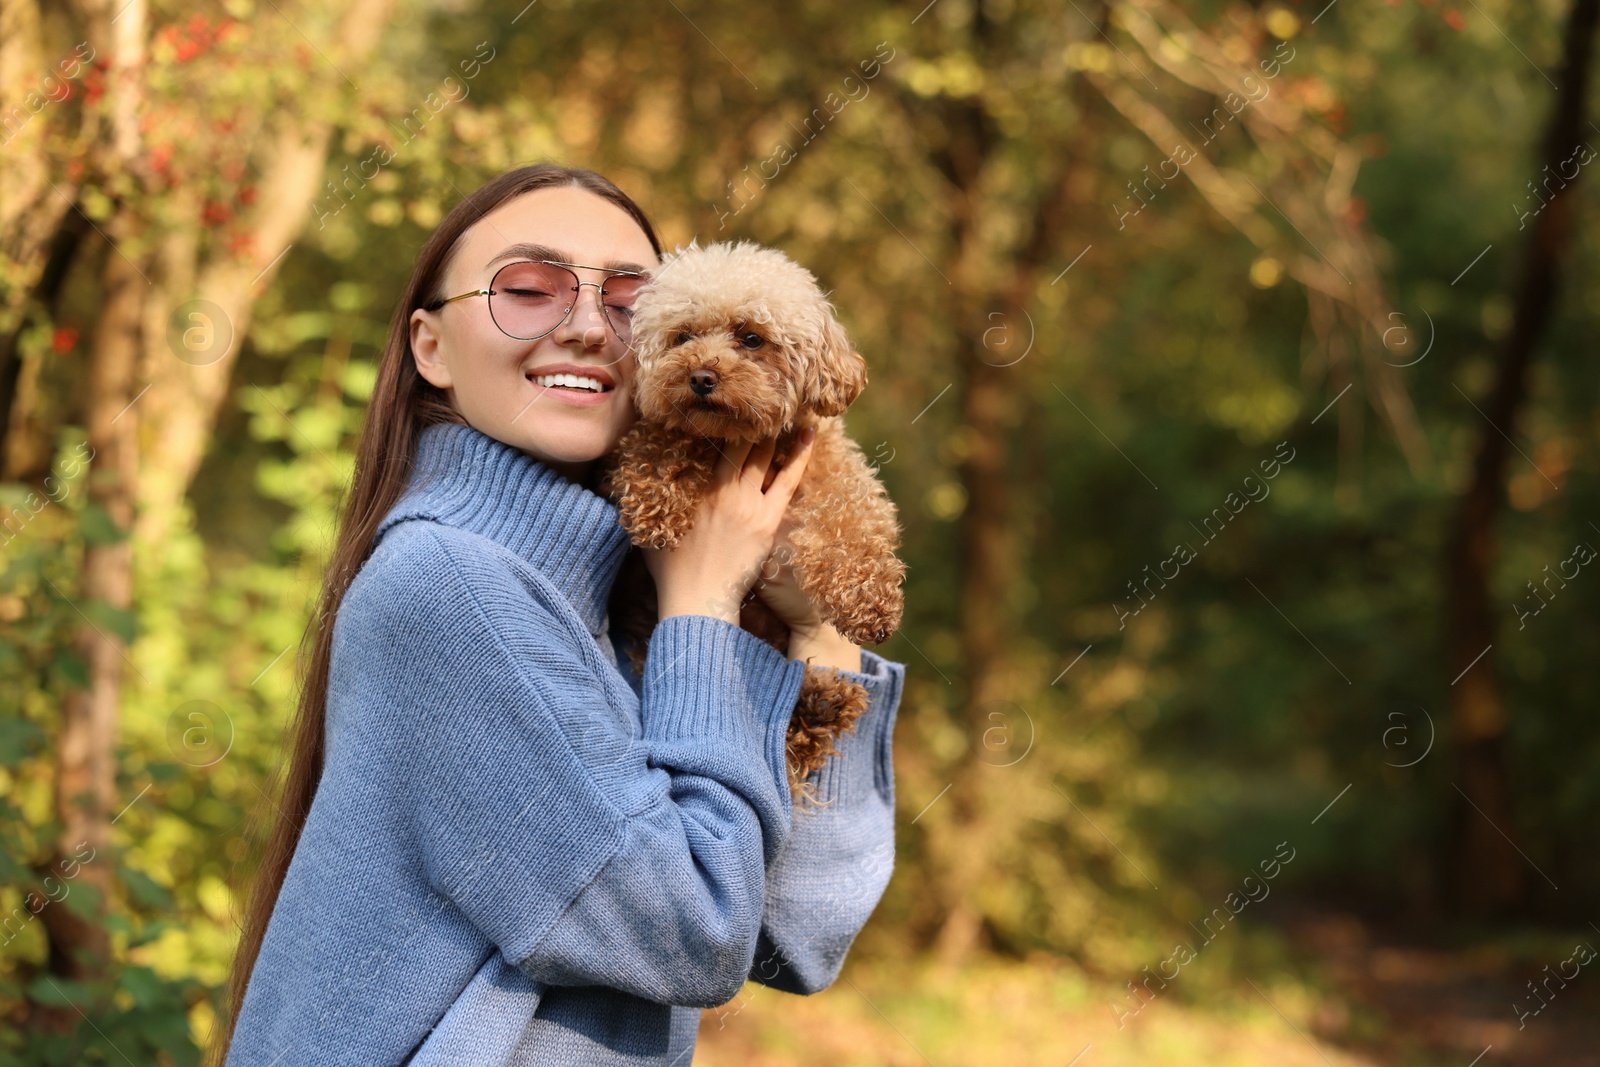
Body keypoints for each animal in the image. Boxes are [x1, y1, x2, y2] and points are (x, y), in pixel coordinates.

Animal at [598, 239, 902, 799]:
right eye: (683, 336)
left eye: (752, 338)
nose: (700, 377)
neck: (739, 440)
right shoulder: (657, 432)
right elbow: (657, 441)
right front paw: (658, 503)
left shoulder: (833, 468)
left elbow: (852, 521)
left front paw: (870, 602)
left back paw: (824, 704)